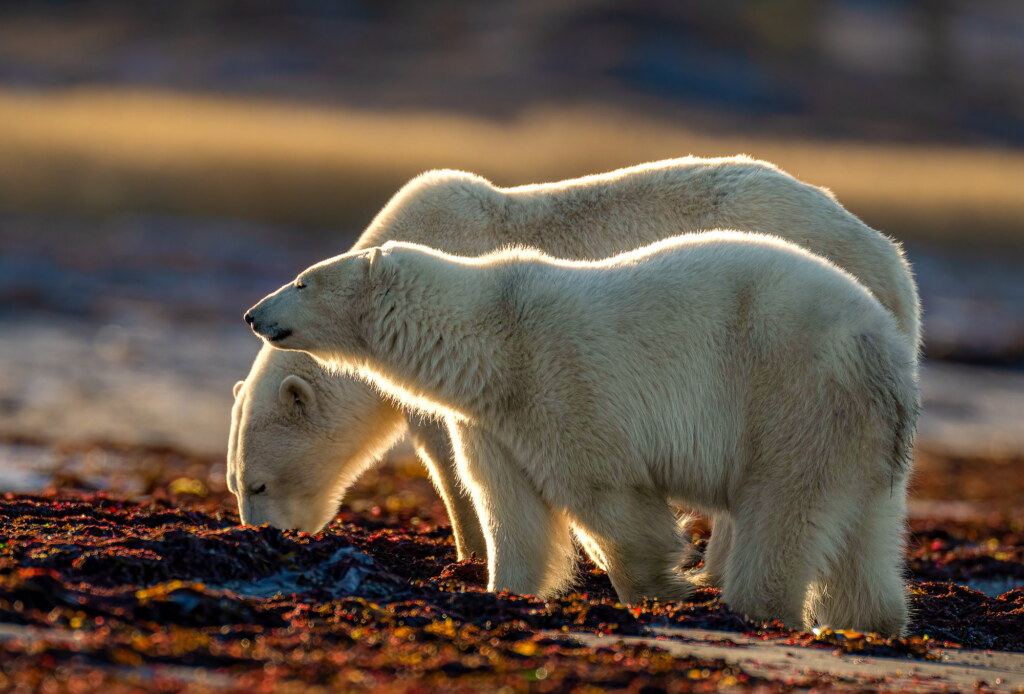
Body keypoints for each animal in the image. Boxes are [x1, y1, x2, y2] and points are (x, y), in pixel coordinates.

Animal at [228, 156, 920, 570]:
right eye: (236, 485)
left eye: (258, 485)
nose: (262, 536)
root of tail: (892, 262)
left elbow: (450, 457)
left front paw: (469, 550)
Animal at [243, 232, 919, 634]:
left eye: (302, 280)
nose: (253, 313)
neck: (489, 336)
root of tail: (881, 346)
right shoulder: (493, 418)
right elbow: (510, 511)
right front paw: (504, 591)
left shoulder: (560, 380)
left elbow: (606, 497)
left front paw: (657, 588)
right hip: (858, 437)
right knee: (865, 536)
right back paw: (872, 624)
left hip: (791, 393)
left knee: (782, 512)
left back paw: (757, 611)